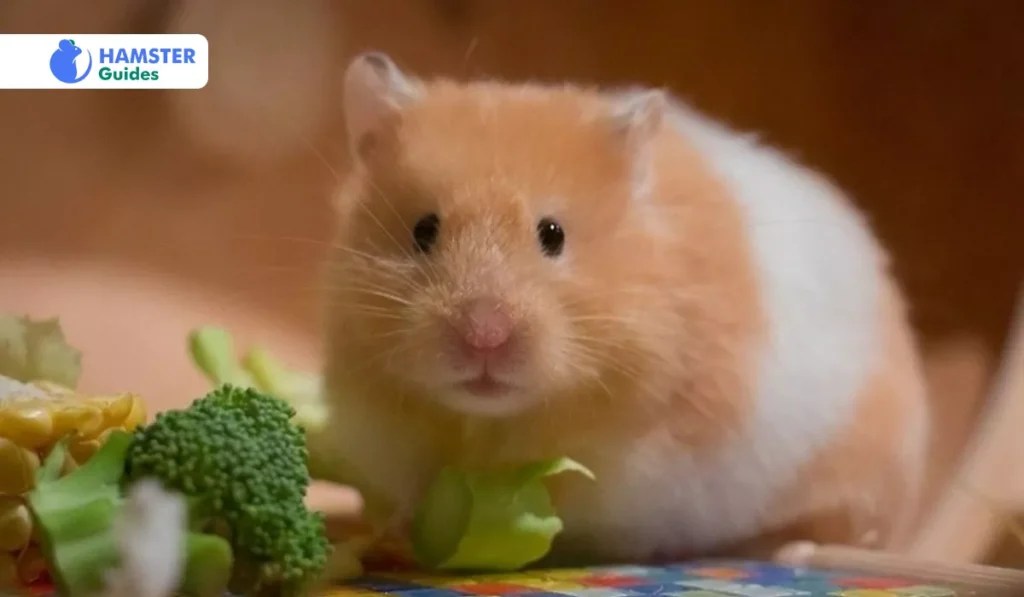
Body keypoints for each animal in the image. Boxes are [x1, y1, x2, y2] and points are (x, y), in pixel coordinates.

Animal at [320, 52, 930, 563]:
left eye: (552, 234)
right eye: (423, 231)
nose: (484, 338)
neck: (489, 422)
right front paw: (404, 532)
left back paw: (788, 549)